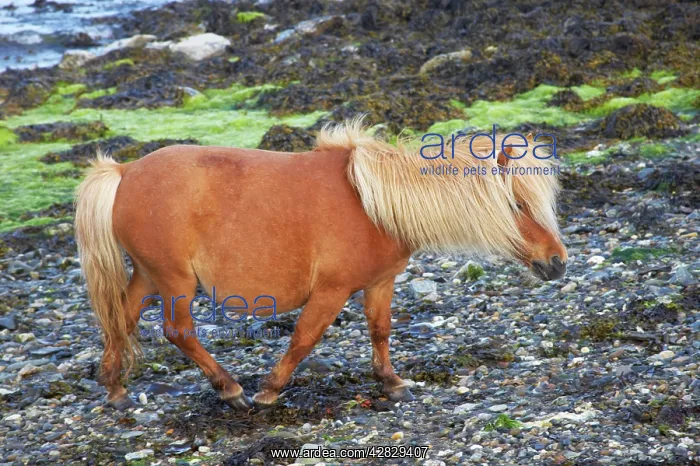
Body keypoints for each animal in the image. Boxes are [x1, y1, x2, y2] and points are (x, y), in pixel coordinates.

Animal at [74, 118, 567, 411]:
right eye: (518, 203)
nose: (558, 263)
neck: (373, 203)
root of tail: (125, 173)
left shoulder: (380, 283)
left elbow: (380, 331)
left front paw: (391, 382)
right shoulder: (331, 291)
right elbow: (303, 339)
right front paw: (269, 390)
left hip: (149, 275)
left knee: (121, 317)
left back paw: (115, 388)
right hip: (174, 280)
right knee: (178, 332)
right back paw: (230, 389)